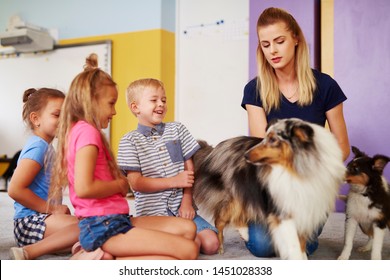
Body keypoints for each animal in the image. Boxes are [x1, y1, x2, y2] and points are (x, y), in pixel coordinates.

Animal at [192, 117, 344, 260]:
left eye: (272, 139)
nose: (246, 155)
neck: (298, 170)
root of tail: (213, 151)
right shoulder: (284, 210)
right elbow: (293, 246)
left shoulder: (304, 210)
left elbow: (301, 245)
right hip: (233, 195)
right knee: (220, 220)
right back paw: (222, 246)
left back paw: (245, 234)